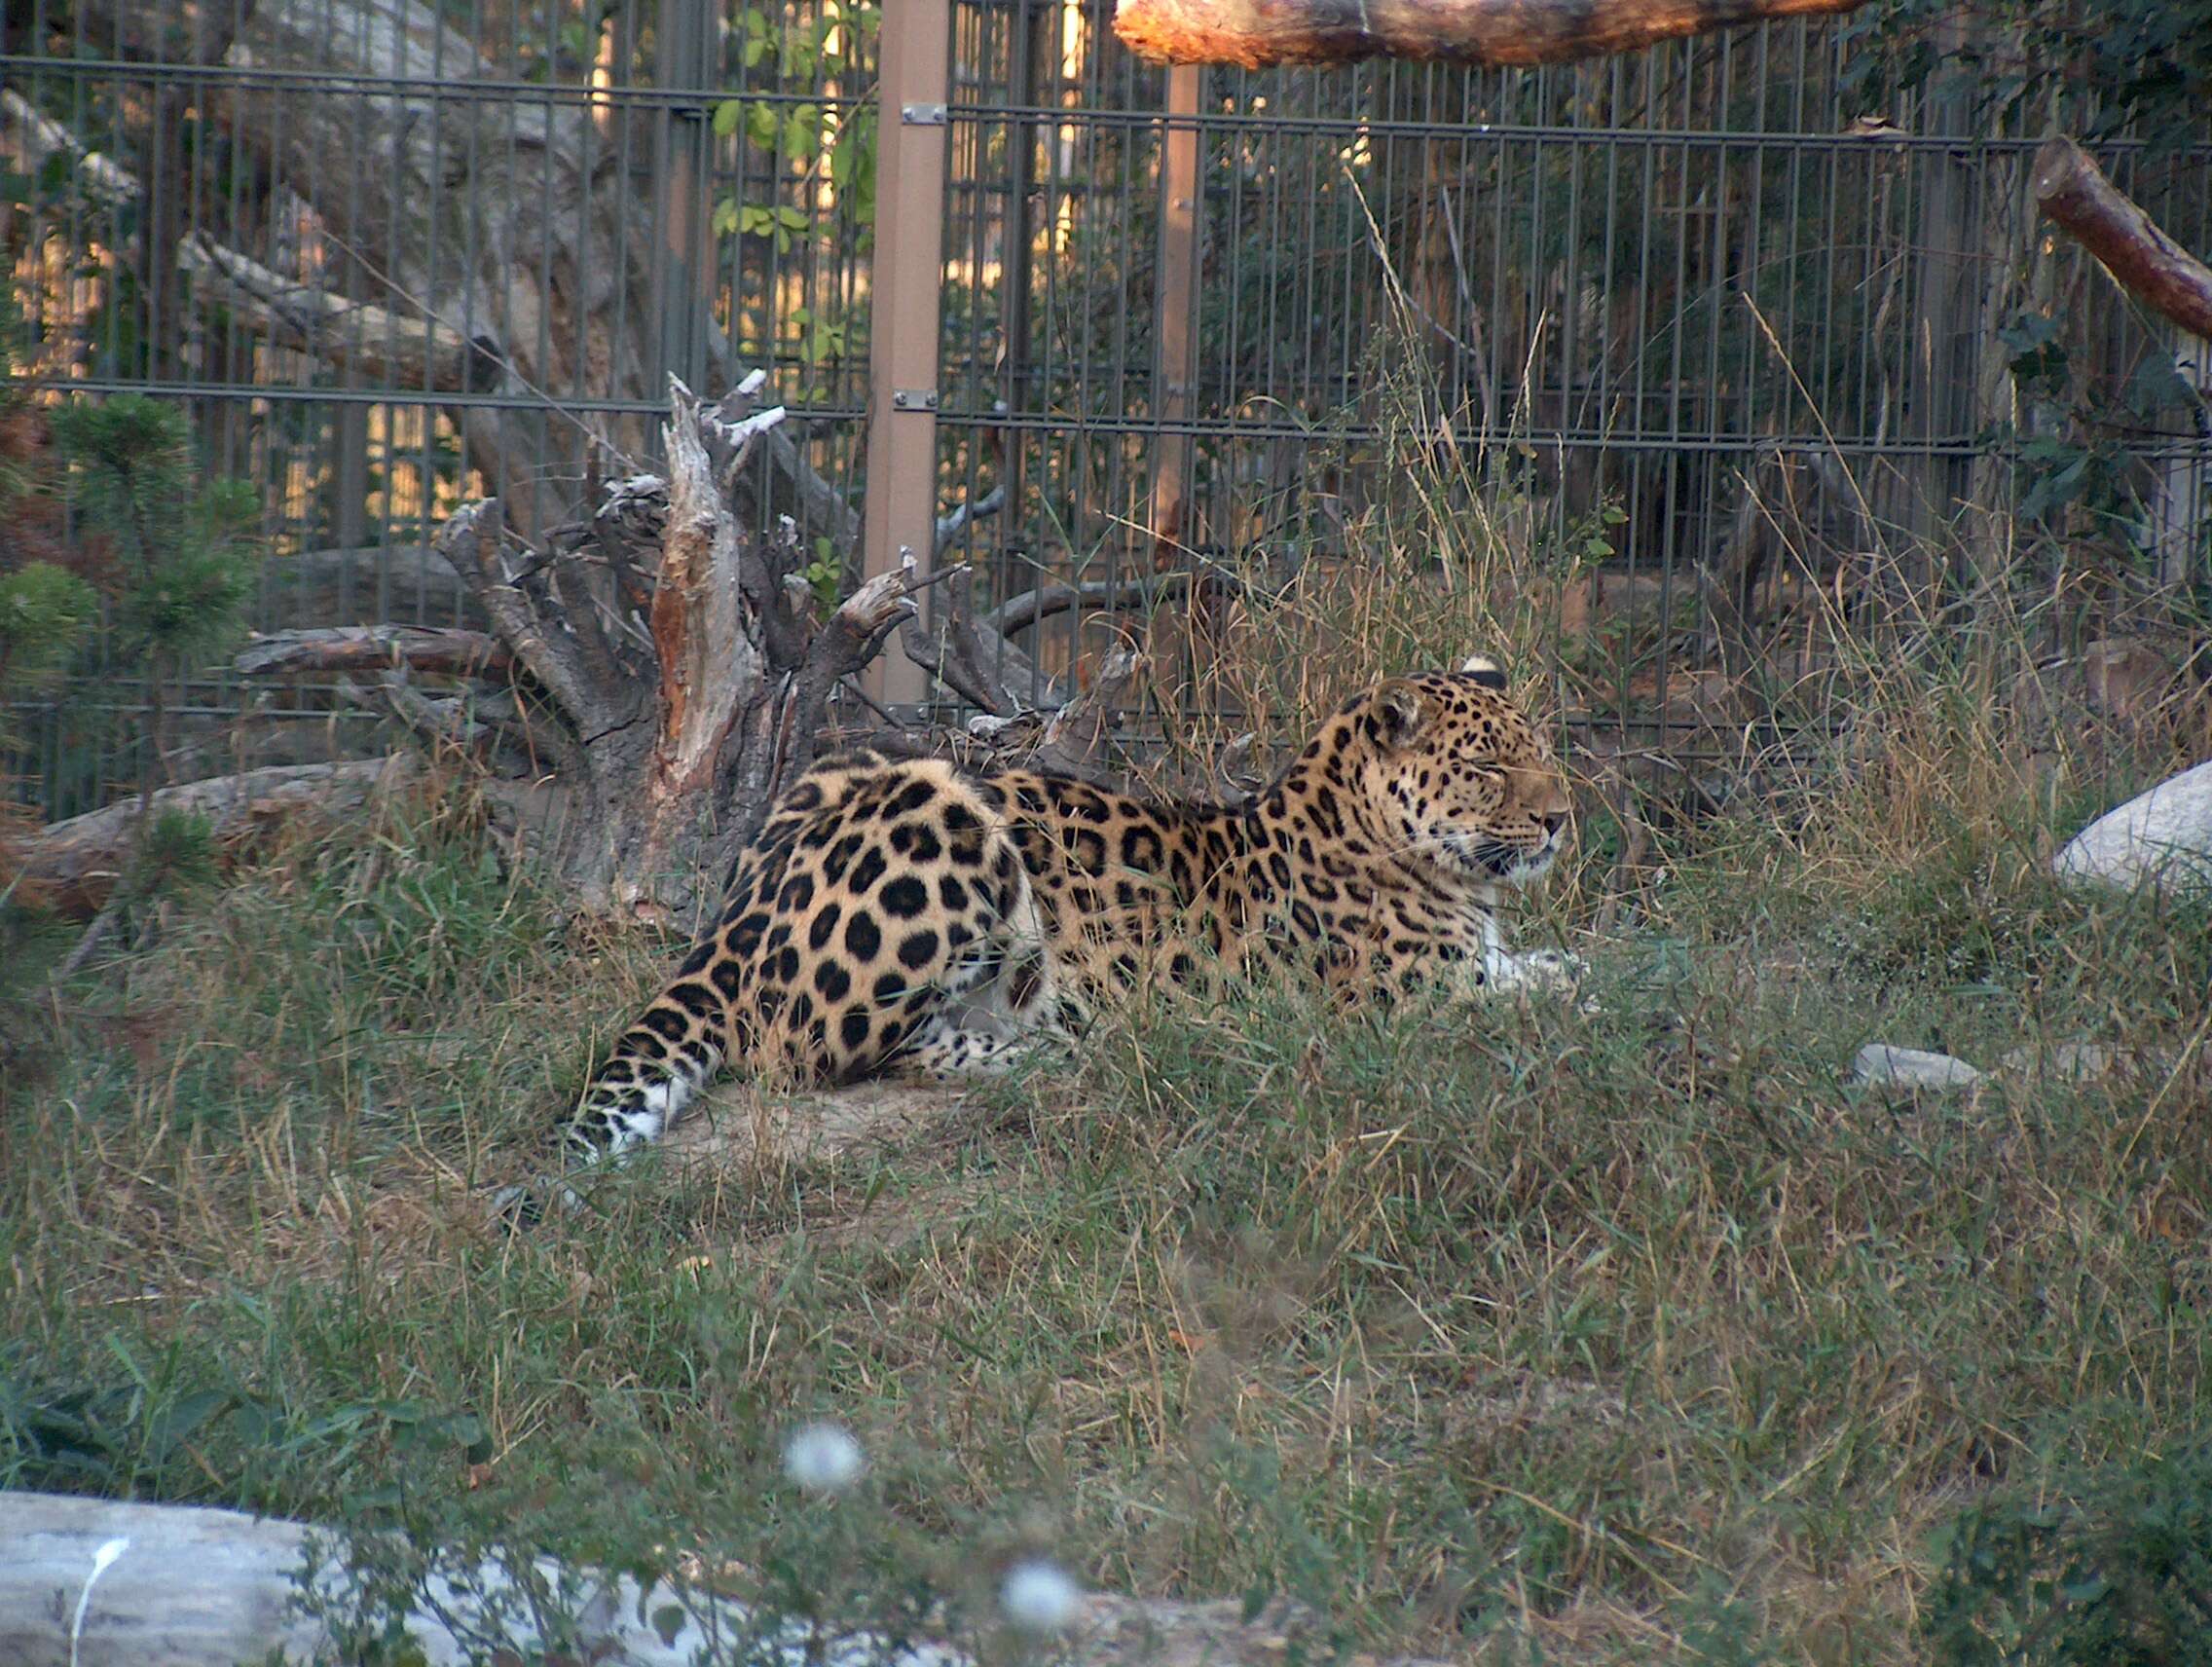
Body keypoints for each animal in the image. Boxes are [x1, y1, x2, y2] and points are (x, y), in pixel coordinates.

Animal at [562, 654, 1583, 1167]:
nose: (1561, 816)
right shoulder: (1414, 1001)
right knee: (823, 1050)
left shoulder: (1478, 964)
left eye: (1541, 750)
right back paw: (1046, 1051)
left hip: (860, 762)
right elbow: (1556, 993)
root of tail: (737, 914)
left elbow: (1560, 967)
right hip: (948, 812)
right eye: (1489, 765)